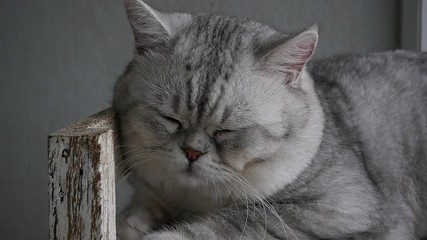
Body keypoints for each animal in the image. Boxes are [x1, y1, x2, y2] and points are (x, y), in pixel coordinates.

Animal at [113, 0, 427, 239]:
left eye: (227, 130)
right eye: (170, 119)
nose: (192, 152)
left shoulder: (332, 211)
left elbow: (216, 227)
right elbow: (134, 215)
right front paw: (133, 223)